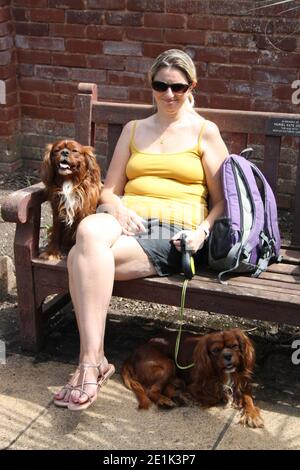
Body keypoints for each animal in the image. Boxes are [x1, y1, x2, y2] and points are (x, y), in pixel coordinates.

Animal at [120, 328, 264, 428]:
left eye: (234, 346)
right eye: (215, 350)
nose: (228, 355)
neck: (225, 373)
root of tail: (132, 354)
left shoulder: (244, 384)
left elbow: (248, 399)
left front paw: (252, 415)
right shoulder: (196, 386)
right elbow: (215, 395)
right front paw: (189, 397)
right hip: (167, 364)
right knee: (152, 390)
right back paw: (165, 400)